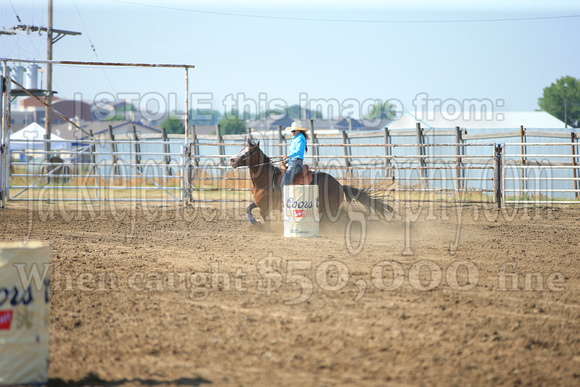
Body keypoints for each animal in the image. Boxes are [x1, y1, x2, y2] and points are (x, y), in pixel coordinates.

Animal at [230, 139, 394, 230]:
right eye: (241, 149)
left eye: (248, 152)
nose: (232, 159)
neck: (266, 181)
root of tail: (340, 185)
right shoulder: (259, 203)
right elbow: (248, 208)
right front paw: (253, 222)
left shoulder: (265, 208)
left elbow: (266, 222)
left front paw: (261, 226)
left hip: (329, 209)